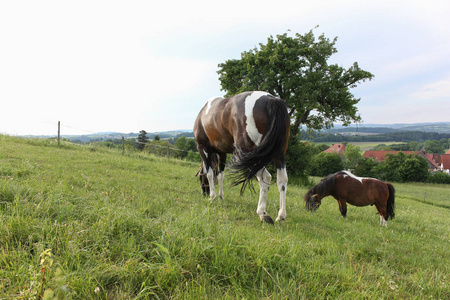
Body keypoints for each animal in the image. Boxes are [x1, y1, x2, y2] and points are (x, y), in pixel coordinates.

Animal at [192, 91, 290, 223]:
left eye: (199, 178)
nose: (204, 193)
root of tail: (271, 99)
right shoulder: (222, 153)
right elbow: (220, 175)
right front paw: (220, 196)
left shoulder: (203, 150)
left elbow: (210, 174)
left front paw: (212, 197)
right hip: (277, 154)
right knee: (282, 180)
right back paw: (281, 216)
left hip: (252, 154)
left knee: (265, 178)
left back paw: (262, 213)